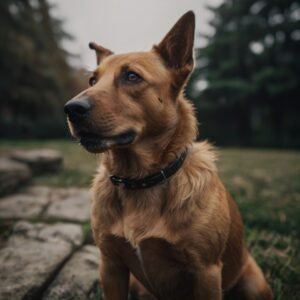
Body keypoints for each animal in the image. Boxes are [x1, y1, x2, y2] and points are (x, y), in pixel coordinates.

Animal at [64, 10, 274, 300]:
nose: (71, 108)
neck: (140, 180)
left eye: (132, 76)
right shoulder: (111, 266)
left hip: (252, 284)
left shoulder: (206, 272)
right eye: (92, 80)